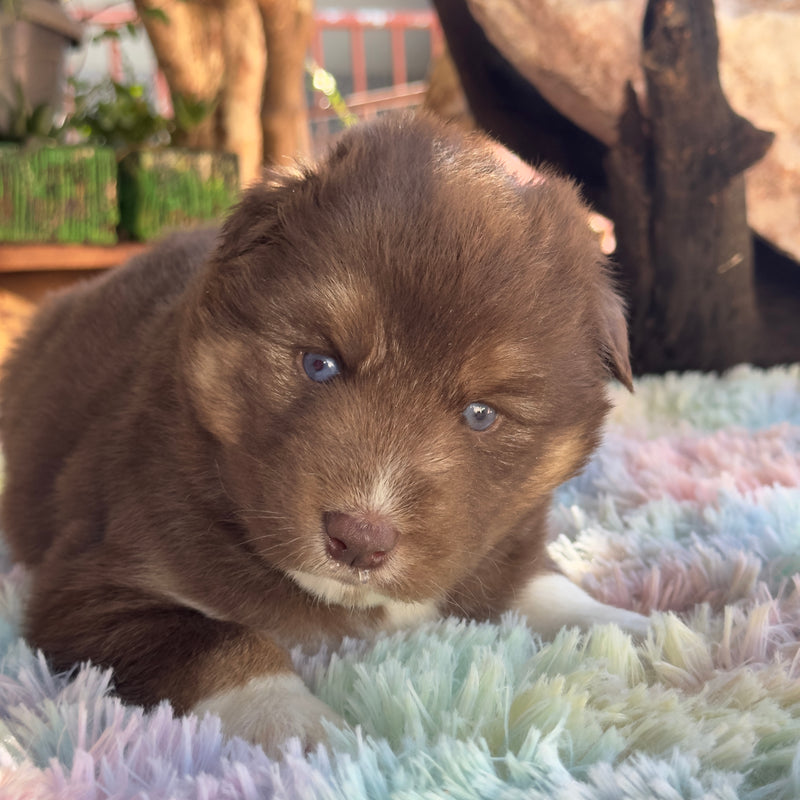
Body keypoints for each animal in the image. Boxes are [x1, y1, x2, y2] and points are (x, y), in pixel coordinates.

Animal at [0, 114, 648, 756]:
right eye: (319, 364)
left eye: (481, 414)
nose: (359, 540)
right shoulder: (94, 583)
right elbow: (222, 644)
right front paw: (298, 726)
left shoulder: (505, 542)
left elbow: (548, 588)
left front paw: (636, 633)